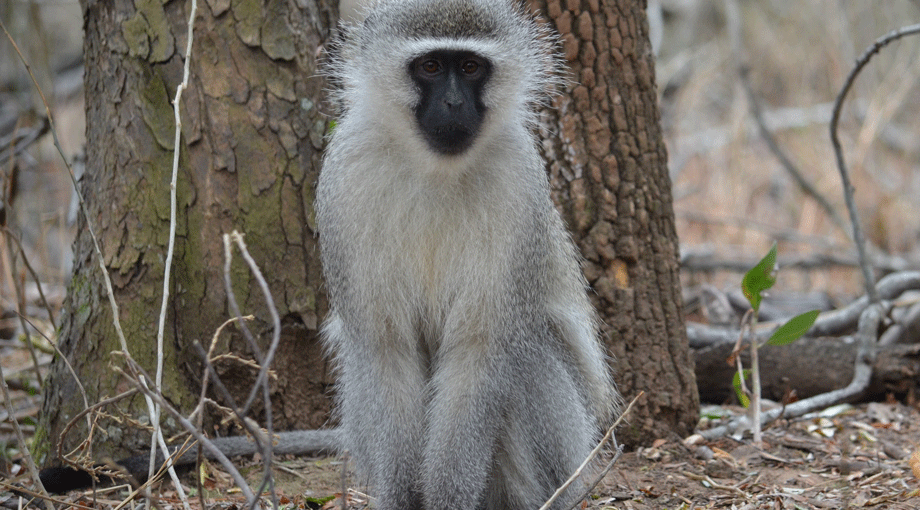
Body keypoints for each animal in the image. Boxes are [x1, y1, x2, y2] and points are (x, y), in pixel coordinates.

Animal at [318, 0, 620, 510]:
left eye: (471, 68)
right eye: (431, 67)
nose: (454, 104)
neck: (435, 168)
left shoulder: (518, 182)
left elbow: (478, 352)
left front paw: (445, 499)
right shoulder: (346, 180)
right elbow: (385, 348)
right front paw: (401, 499)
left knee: (530, 349)